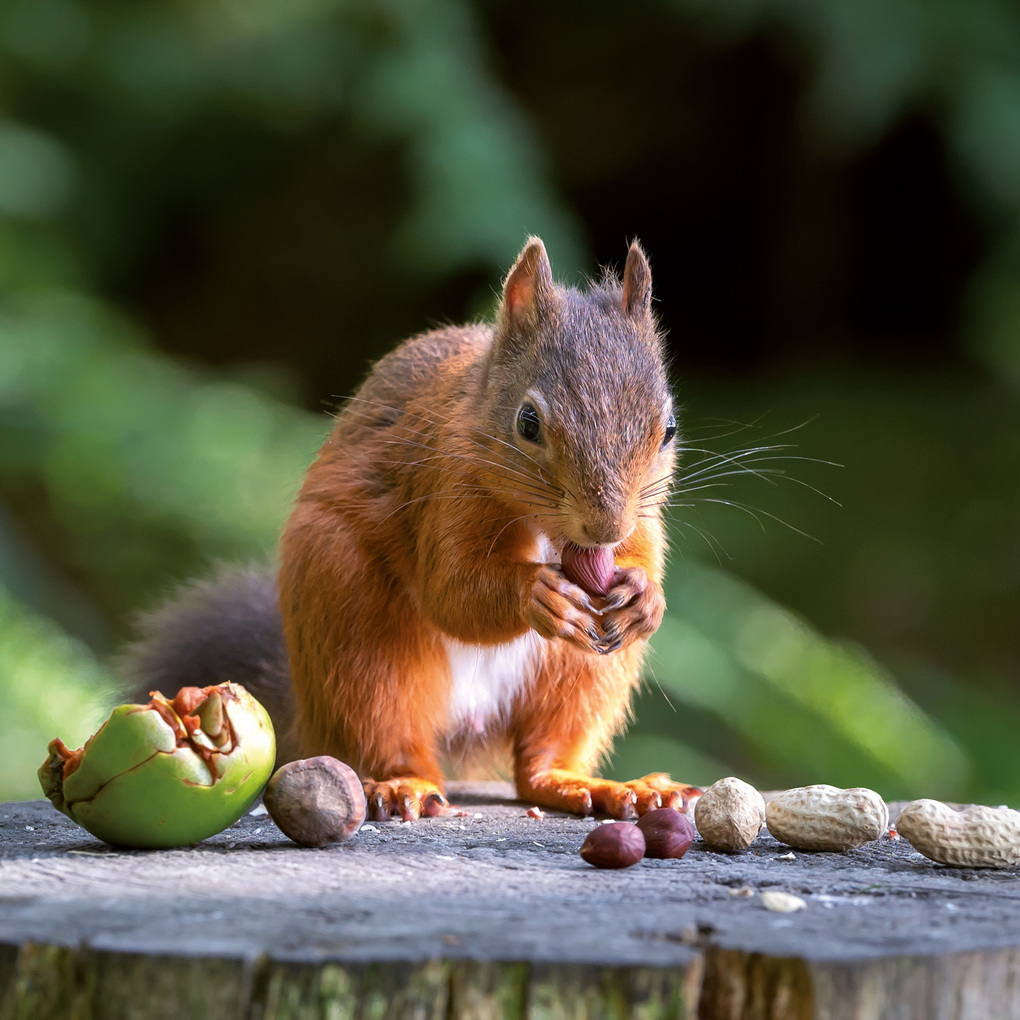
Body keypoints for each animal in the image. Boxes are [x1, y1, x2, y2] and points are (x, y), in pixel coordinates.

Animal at [123, 237, 699, 821]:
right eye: (528, 423)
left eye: (669, 428)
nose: (604, 528)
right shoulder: (442, 486)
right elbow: (452, 592)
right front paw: (535, 592)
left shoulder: (642, 523)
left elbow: (640, 560)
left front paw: (646, 597)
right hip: (353, 622)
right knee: (385, 729)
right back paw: (405, 784)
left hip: (584, 672)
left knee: (543, 758)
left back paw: (598, 785)